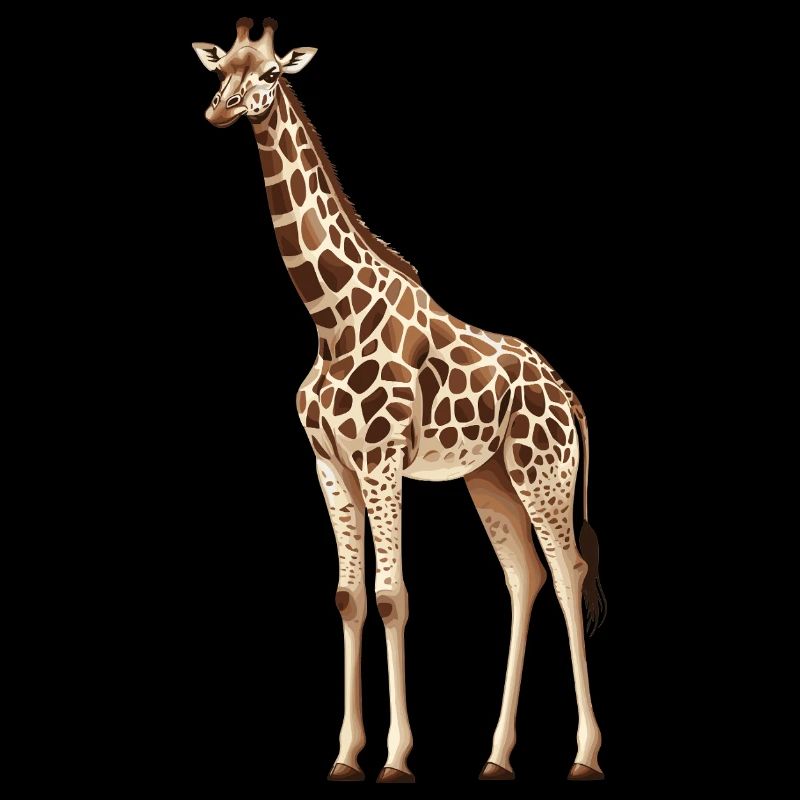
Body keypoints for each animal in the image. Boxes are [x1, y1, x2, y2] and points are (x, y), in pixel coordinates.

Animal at [194, 17, 607, 784]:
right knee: (524, 576)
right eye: (220, 68)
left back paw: (586, 756)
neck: (331, 319)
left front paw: (395, 758)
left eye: (270, 73)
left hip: (545, 473)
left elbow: (392, 597)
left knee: (569, 572)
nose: (222, 110)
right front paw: (345, 756)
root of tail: (571, 399)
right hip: (489, 477)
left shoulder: (382, 460)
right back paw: (496, 757)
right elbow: (349, 597)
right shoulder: (330, 464)